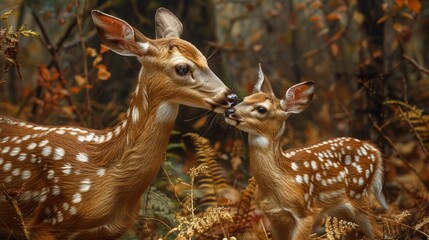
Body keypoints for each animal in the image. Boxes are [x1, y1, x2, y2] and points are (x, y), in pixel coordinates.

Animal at [224, 64, 388, 239]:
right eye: (245, 98)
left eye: (261, 109)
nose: (229, 111)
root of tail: (374, 150)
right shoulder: (273, 215)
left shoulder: (306, 211)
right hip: (340, 207)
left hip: (358, 194)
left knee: (378, 233)